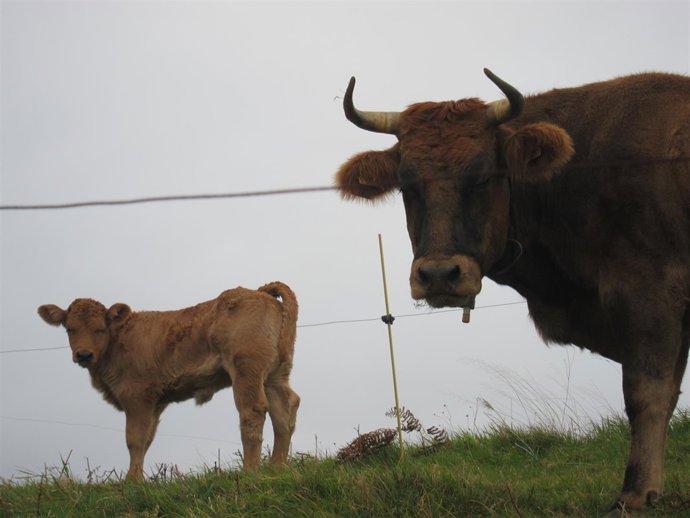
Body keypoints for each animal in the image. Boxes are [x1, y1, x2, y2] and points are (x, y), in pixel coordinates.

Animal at [38, 282, 300, 480]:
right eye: (69, 329)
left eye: (100, 329)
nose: (83, 355)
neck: (117, 342)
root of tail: (260, 292)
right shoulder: (155, 401)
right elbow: (147, 439)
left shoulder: (136, 395)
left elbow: (134, 439)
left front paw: (132, 482)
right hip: (275, 375)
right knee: (284, 411)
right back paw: (277, 467)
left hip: (246, 369)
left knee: (253, 412)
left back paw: (250, 472)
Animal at [334, 69, 690, 510]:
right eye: (407, 185)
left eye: (484, 175)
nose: (439, 274)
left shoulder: (648, 290)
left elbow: (647, 394)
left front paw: (636, 493)